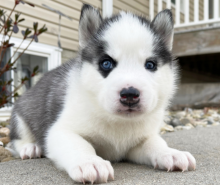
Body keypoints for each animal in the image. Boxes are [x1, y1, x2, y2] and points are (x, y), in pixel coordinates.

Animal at [9, 3, 196, 184]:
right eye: (106, 63)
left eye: (150, 65)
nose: (130, 94)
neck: (119, 123)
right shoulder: (60, 131)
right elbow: (80, 144)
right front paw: (90, 162)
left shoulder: (140, 139)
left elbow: (155, 142)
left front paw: (170, 153)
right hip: (20, 113)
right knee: (17, 139)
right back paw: (31, 147)